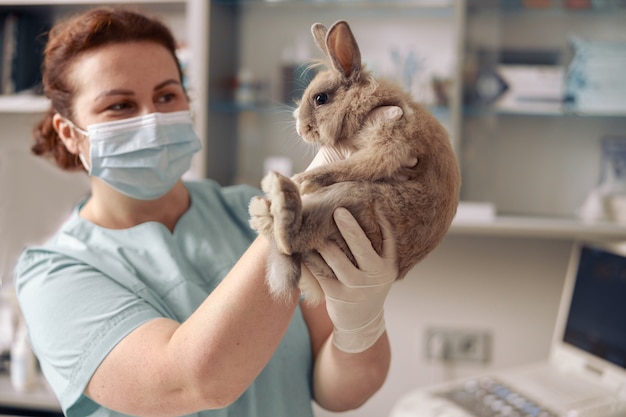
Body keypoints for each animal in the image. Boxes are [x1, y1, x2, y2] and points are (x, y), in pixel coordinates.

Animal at [247, 19, 458, 304]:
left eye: (320, 98)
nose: (301, 129)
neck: (366, 102)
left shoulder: (392, 139)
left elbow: (358, 165)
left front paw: (304, 180)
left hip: (351, 199)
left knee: (290, 239)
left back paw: (278, 196)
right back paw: (263, 206)